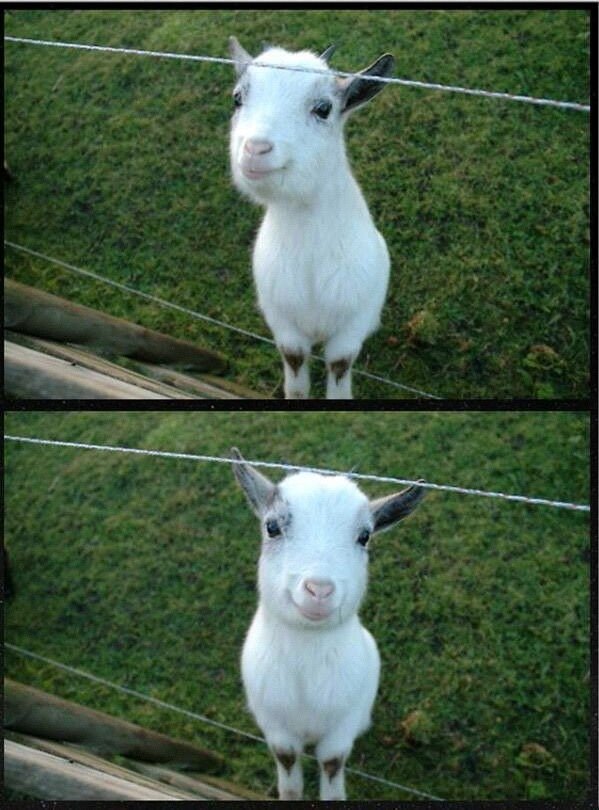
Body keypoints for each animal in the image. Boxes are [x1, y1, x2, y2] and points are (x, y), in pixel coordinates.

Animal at [229, 39, 394, 399]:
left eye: (323, 108)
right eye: (237, 98)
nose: (255, 149)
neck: (310, 263)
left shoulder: (352, 324)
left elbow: (340, 364)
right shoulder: (282, 321)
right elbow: (294, 361)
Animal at [231, 448, 426, 799]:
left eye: (365, 536)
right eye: (272, 526)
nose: (319, 590)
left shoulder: (341, 727)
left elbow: (332, 763)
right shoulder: (275, 726)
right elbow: (287, 763)